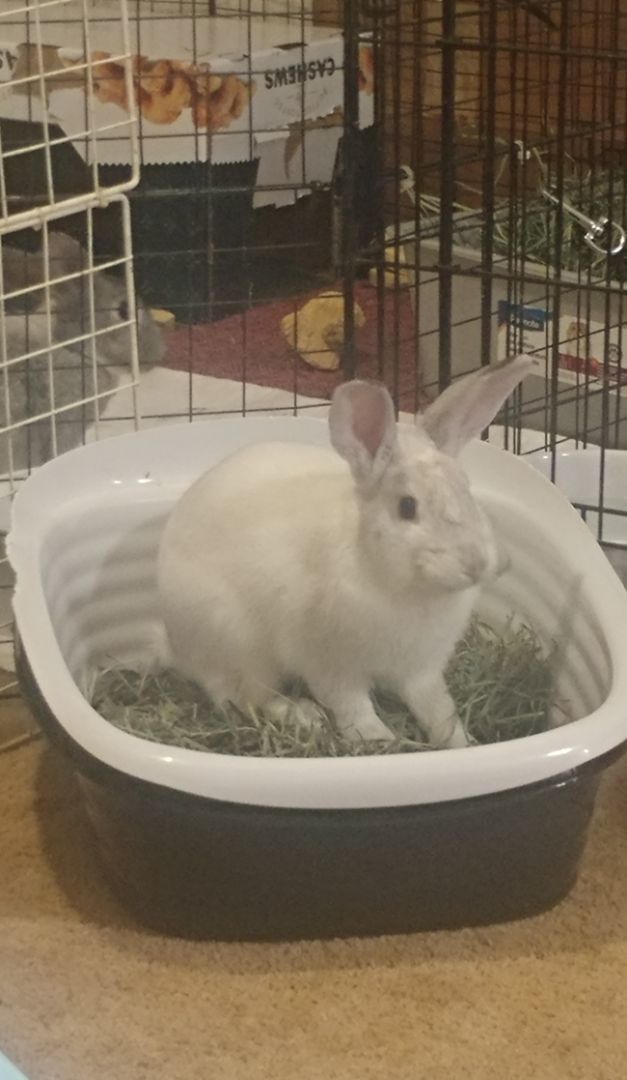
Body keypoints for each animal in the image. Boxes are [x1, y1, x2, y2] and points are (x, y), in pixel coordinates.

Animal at [157, 353, 536, 748]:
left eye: (466, 489)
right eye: (407, 507)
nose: (477, 563)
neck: (402, 587)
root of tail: (177, 644)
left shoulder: (421, 669)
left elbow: (438, 708)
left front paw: (460, 742)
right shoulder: (331, 667)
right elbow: (353, 709)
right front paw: (380, 741)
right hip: (241, 648)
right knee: (245, 699)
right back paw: (304, 716)